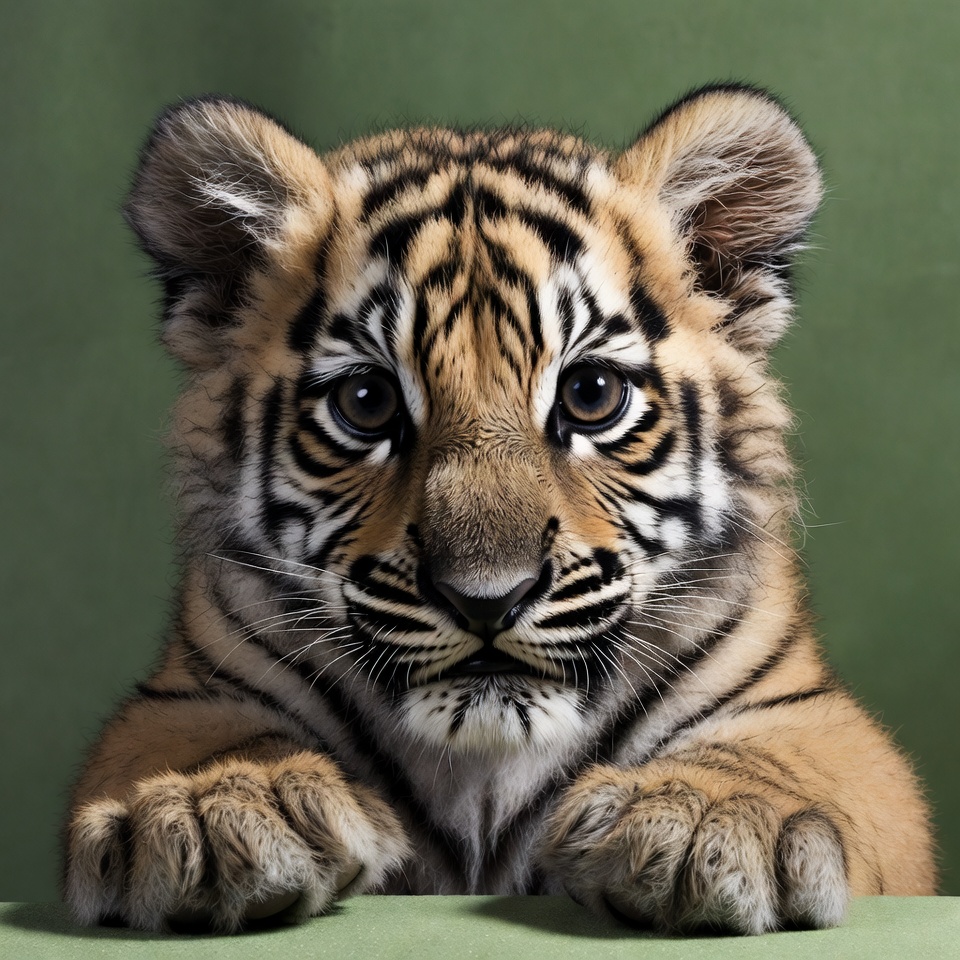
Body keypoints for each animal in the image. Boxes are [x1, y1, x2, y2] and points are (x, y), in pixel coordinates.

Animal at [63, 84, 936, 936]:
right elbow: (209, 743)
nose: (488, 599)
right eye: (367, 402)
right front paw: (221, 807)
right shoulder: (186, 695)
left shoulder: (811, 714)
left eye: (591, 395)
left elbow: (770, 759)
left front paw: (703, 819)